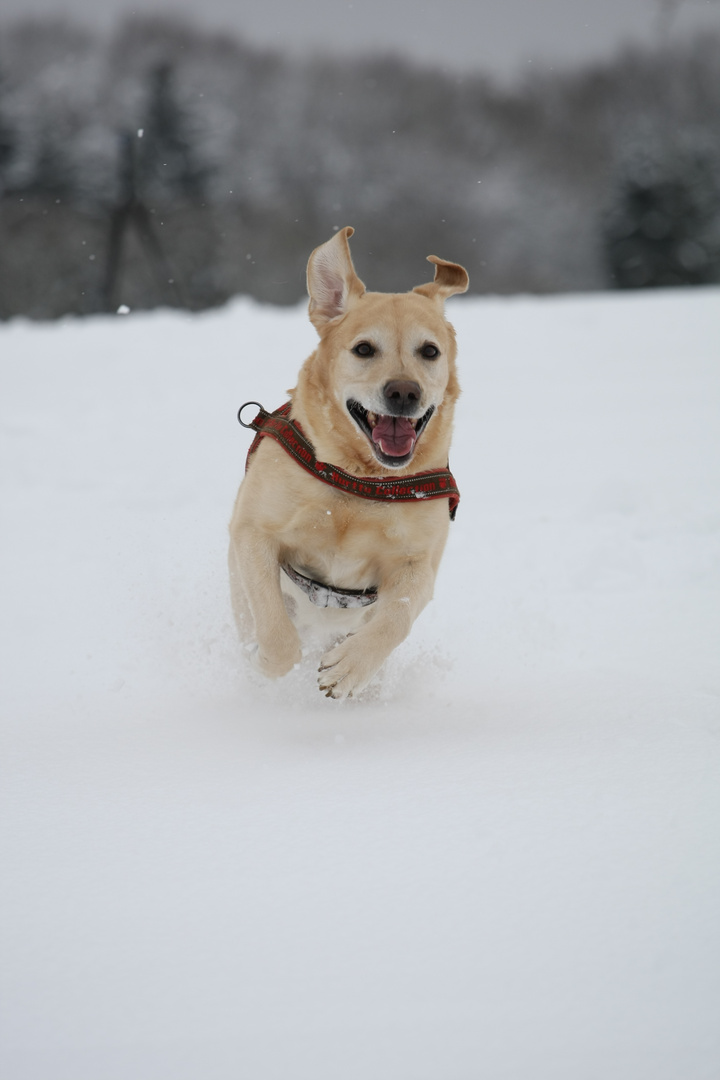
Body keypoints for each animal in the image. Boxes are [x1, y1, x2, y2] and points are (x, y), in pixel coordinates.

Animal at [227, 227, 470, 699]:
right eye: (363, 348)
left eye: (430, 351)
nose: (403, 392)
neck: (359, 481)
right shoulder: (254, 532)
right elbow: (275, 629)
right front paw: (270, 662)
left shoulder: (418, 564)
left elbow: (397, 616)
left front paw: (350, 668)